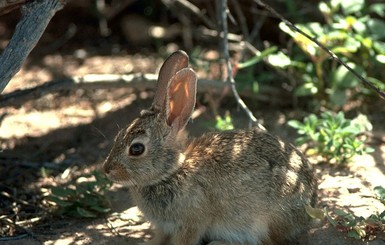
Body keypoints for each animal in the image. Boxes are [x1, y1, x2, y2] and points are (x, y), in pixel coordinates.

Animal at [103, 50, 316, 245]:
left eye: (136, 149)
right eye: (118, 135)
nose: (107, 170)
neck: (173, 171)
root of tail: (311, 202)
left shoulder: (190, 224)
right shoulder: (164, 228)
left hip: (268, 219)